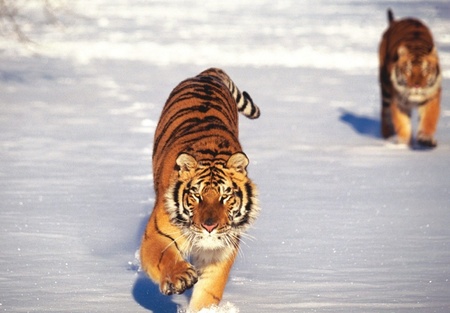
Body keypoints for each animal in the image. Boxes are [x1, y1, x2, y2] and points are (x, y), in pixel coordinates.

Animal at [140, 67, 260, 310]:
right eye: (196, 195)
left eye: (226, 195)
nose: (209, 226)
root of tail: (207, 73)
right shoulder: (155, 235)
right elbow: (163, 256)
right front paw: (179, 277)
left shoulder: (221, 250)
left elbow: (208, 292)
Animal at [378, 8, 442, 147]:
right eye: (408, 70)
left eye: (426, 70)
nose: (416, 85)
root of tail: (395, 21)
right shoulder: (398, 102)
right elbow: (402, 124)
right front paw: (403, 145)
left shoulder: (431, 97)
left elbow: (429, 119)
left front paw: (425, 138)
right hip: (385, 89)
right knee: (384, 112)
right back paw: (387, 136)